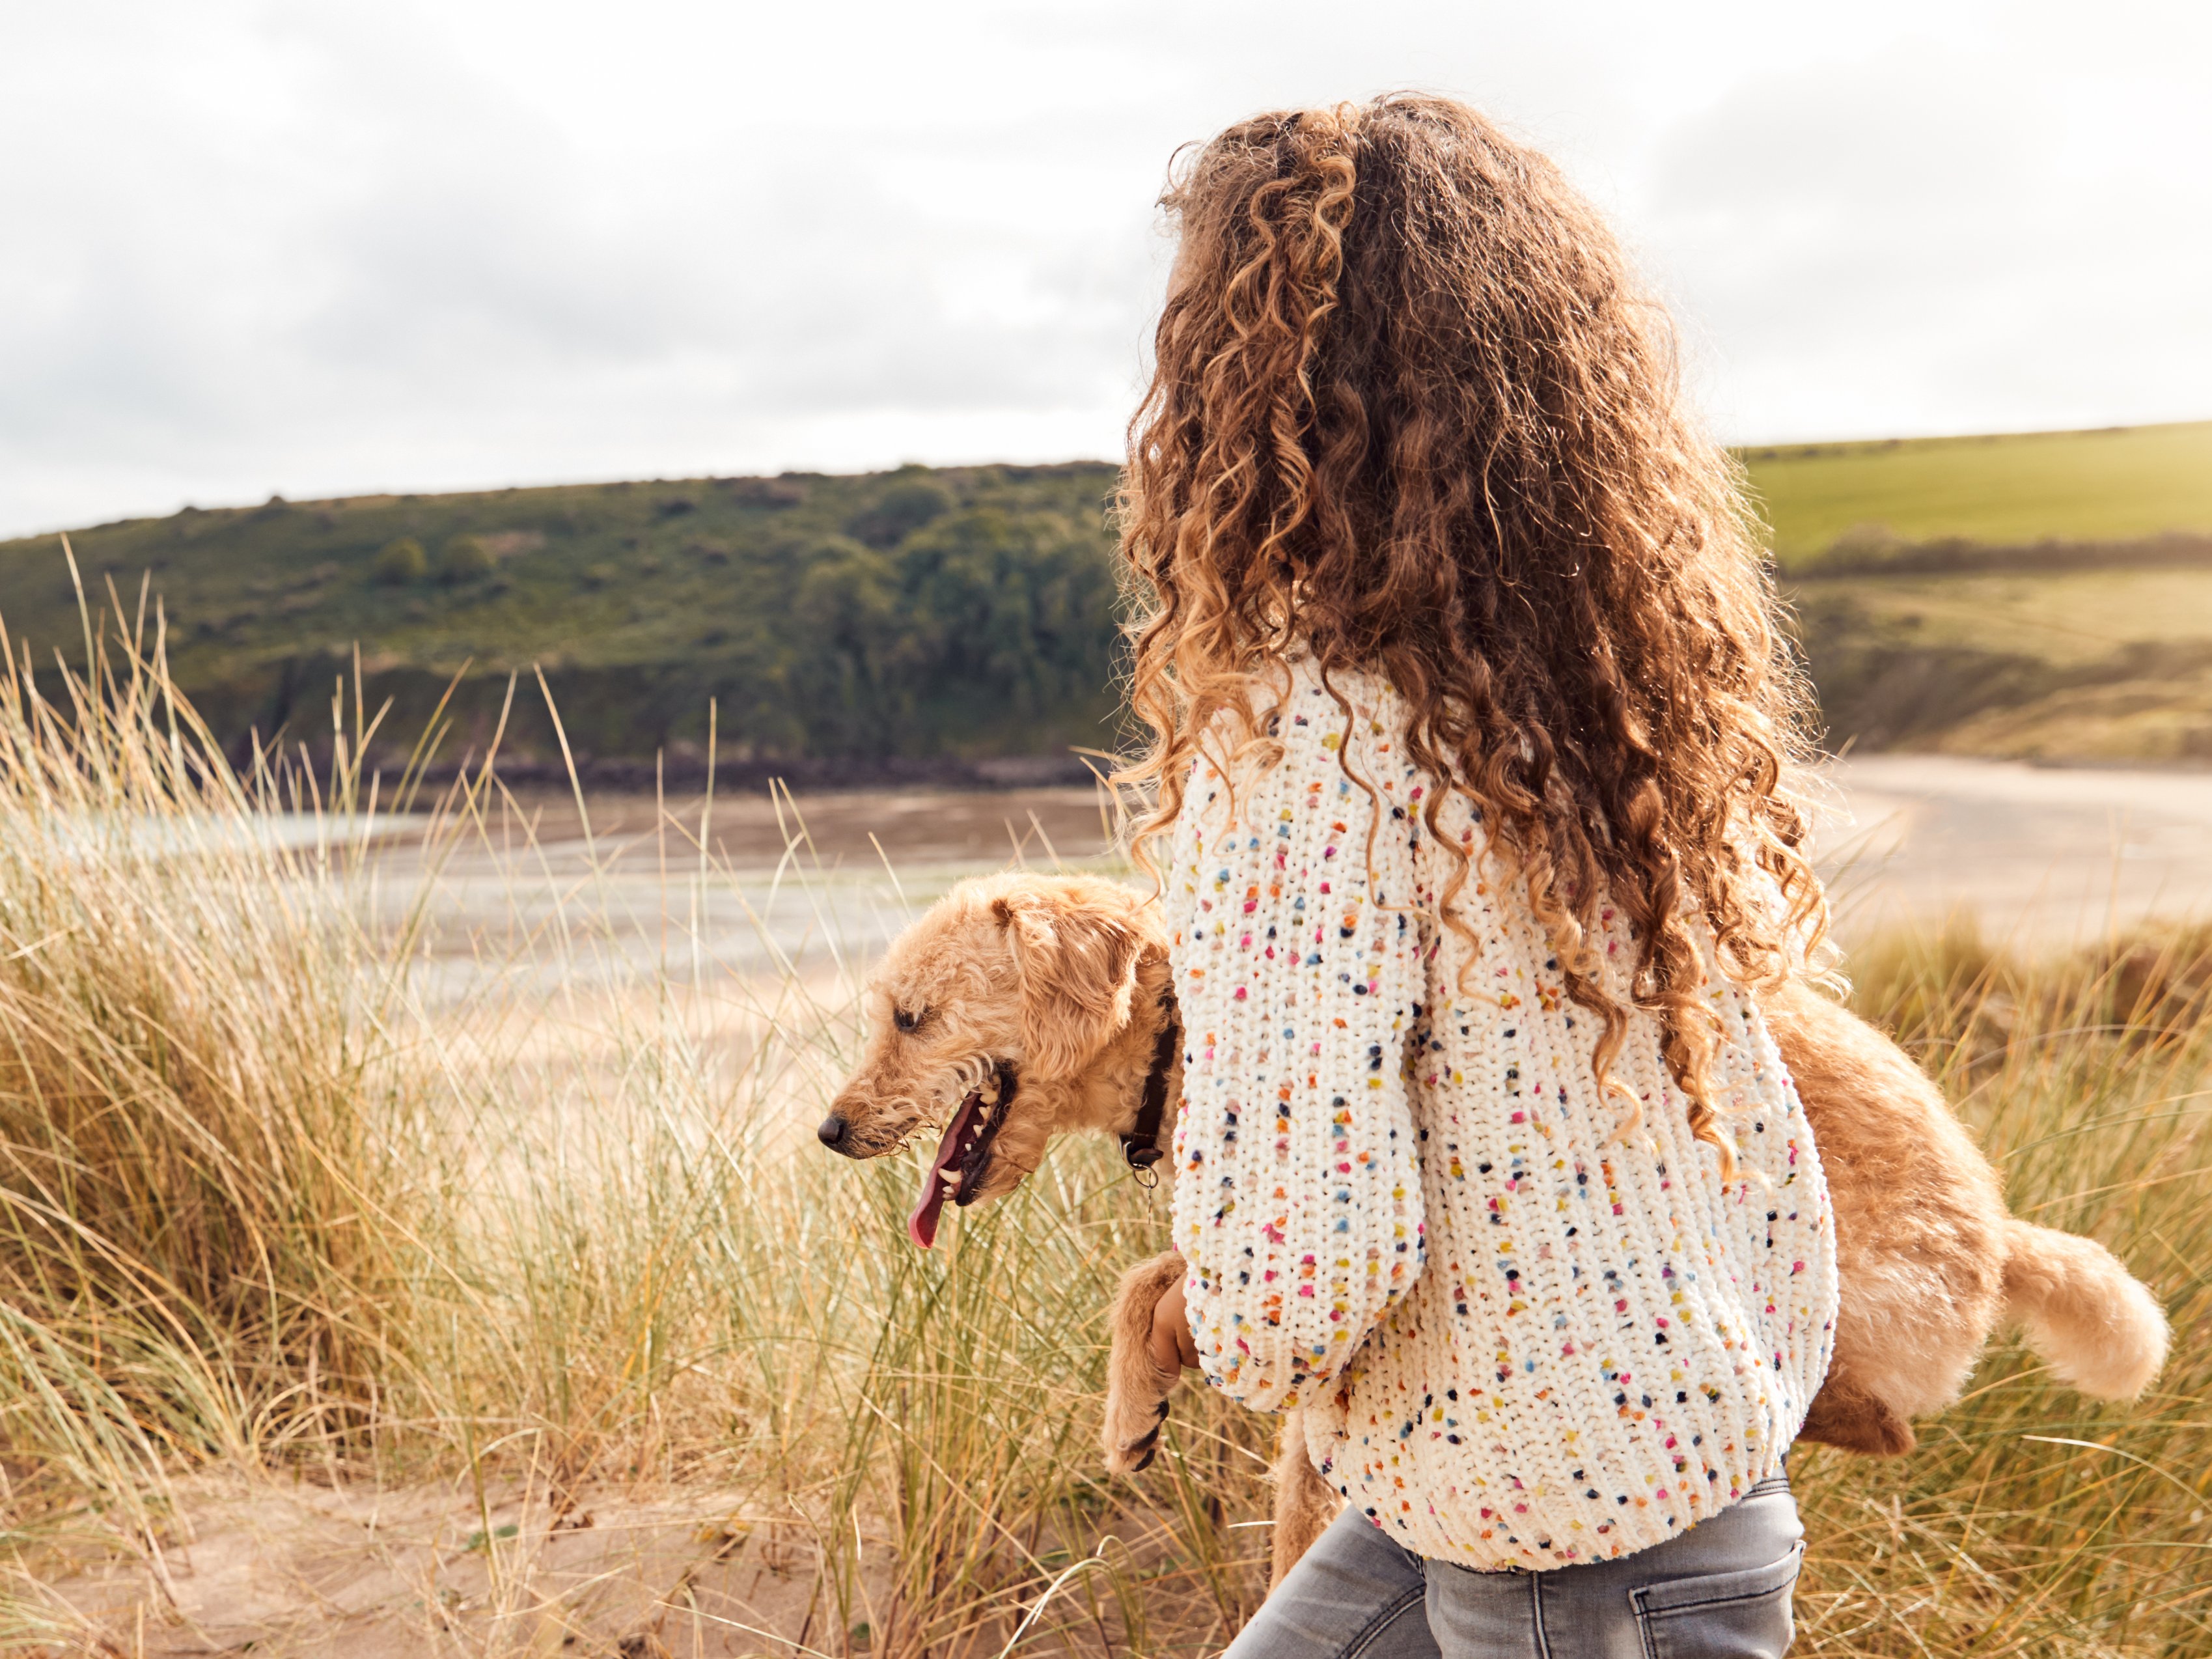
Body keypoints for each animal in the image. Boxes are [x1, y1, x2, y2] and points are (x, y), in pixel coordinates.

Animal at [823, 876, 2168, 1593]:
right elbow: (1170, 1305)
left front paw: (1129, 1401)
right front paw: (1144, 1393)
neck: (1180, 1031)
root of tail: (2000, 1238)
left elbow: (1152, 1283)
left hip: (1849, 1296)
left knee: (1869, 1414)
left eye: (912, 1015)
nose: (831, 1128)